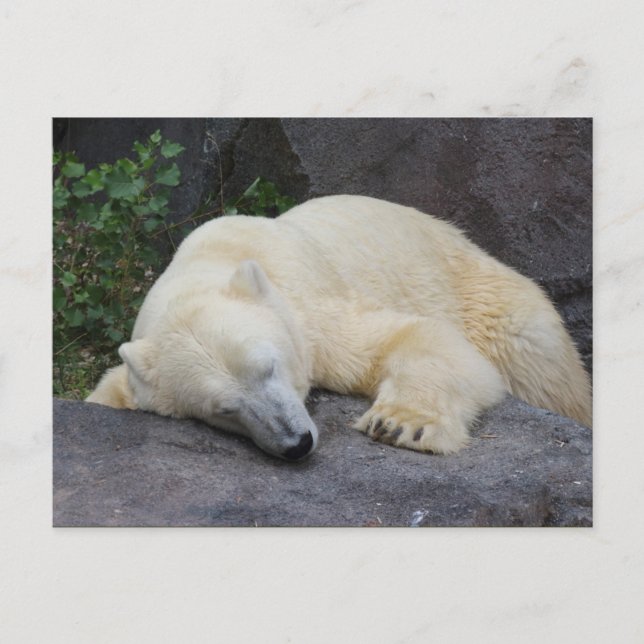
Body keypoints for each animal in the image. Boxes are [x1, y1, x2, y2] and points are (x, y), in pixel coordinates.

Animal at [87, 195, 592, 460]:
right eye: (223, 409)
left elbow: (415, 337)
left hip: (491, 297)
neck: (216, 258)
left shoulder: (313, 312)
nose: (296, 443)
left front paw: (401, 425)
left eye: (269, 367)